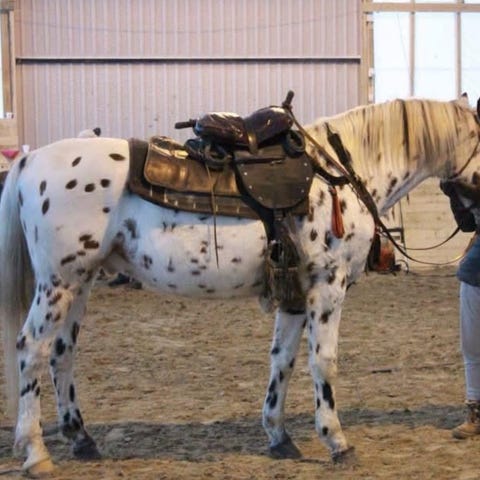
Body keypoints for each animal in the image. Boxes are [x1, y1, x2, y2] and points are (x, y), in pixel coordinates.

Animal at [1, 97, 479, 476]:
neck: (340, 174)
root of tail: (30, 160)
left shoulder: (294, 296)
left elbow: (282, 360)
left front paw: (279, 436)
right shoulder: (328, 287)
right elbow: (323, 364)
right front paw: (337, 442)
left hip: (80, 283)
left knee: (62, 354)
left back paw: (82, 440)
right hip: (58, 283)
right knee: (32, 350)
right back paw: (37, 453)